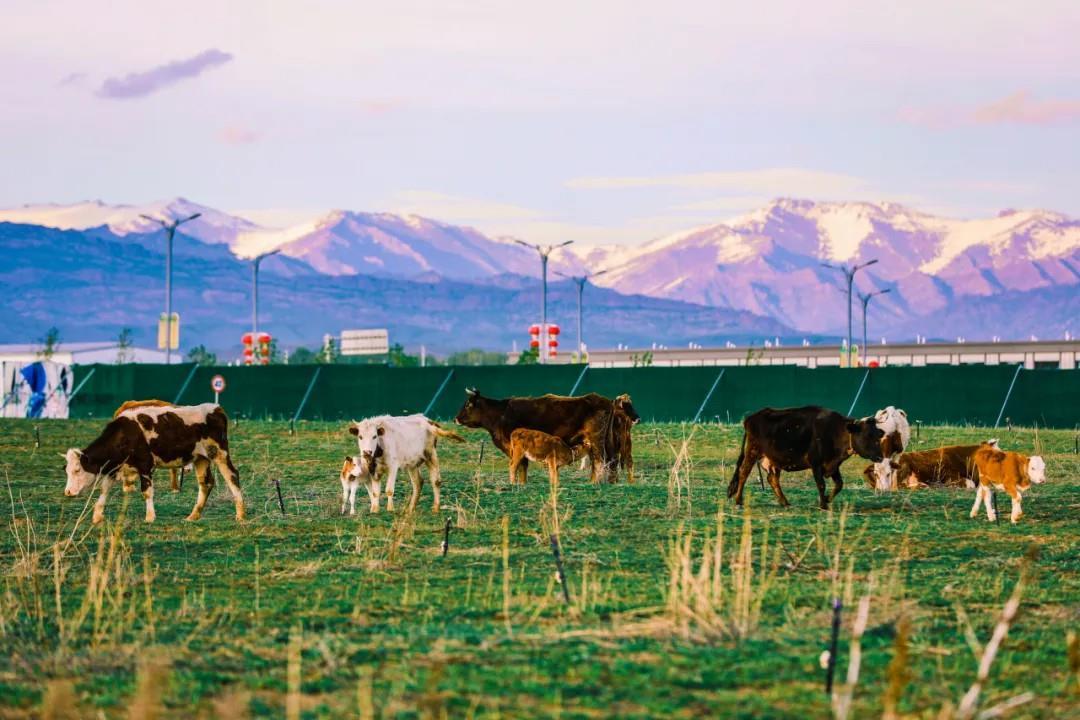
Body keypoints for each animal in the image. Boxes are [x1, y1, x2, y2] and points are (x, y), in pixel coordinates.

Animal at [64, 399, 244, 524]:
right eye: (67, 470)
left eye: (77, 470)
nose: (68, 492)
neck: (126, 433)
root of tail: (216, 408)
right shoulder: (114, 468)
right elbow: (104, 490)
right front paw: (97, 516)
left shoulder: (145, 465)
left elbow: (147, 491)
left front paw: (150, 517)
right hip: (201, 458)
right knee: (205, 484)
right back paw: (193, 515)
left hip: (219, 453)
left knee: (232, 476)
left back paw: (241, 514)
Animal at [455, 388, 622, 483]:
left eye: (468, 405)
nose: (456, 419)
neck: (501, 414)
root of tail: (605, 400)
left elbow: (521, 466)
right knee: (608, 460)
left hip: (596, 440)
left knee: (599, 460)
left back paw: (594, 482)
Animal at [725, 405, 885, 511]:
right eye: (867, 435)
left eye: (878, 435)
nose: (880, 457)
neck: (836, 431)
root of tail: (750, 418)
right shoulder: (816, 463)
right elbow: (821, 484)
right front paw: (823, 504)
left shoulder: (833, 464)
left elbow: (839, 484)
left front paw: (827, 499)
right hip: (752, 451)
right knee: (743, 473)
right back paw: (738, 500)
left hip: (773, 459)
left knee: (772, 479)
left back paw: (784, 502)